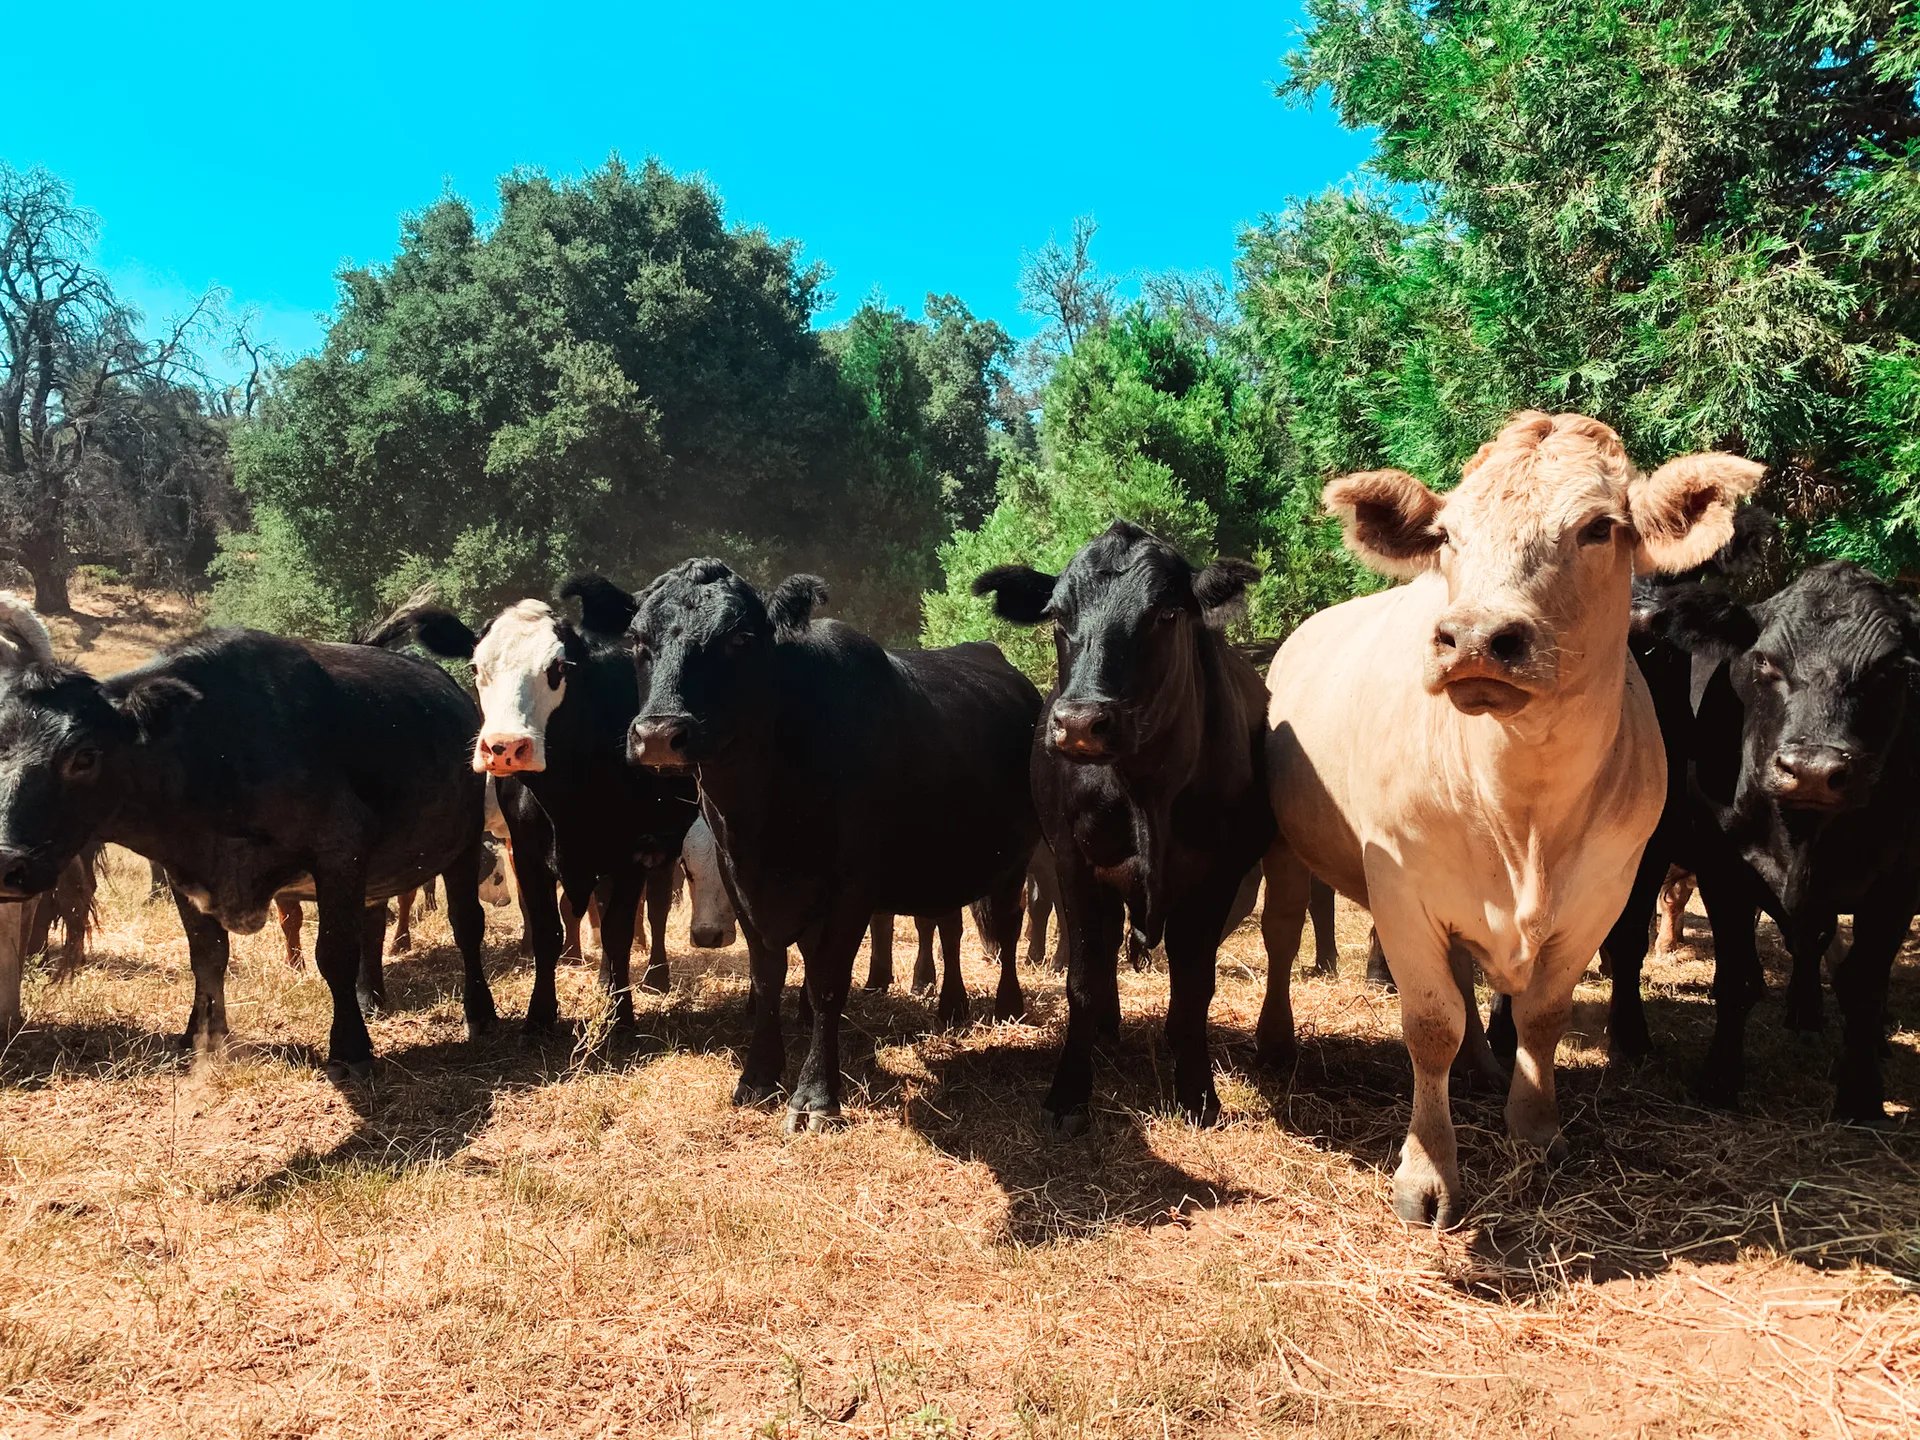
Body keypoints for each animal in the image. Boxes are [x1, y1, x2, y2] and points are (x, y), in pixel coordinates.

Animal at [0, 602, 499, 1080]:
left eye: (84, 755)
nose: (8, 862)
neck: (214, 751)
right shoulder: (184, 873)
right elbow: (207, 957)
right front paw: (203, 1038)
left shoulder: (339, 848)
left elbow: (334, 952)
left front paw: (349, 1049)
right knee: (375, 921)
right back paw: (369, 996)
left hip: (463, 843)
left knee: (465, 923)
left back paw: (480, 1013)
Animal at [626, 561, 1039, 1131]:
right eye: (637, 639)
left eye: (739, 638)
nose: (660, 733)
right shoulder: (742, 880)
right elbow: (767, 976)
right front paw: (758, 1077)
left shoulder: (852, 886)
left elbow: (826, 979)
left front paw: (817, 1095)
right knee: (951, 927)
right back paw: (951, 1007)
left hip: (1016, 857)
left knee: (1007, 922)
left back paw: (1007, 1007)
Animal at [973, 521, 1274, 1134]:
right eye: (1058, 615)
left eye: (1166, 613)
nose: (1079, 722)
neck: (1147, 791)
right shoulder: (1074, 862)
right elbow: (1083, 980)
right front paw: (1069, 1093)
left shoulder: (1218, 876)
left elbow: (1194, 985)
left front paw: (1197, 1092)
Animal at [1262, 411, 1759, 1225]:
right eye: (1447, 535)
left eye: (1597, 528)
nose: (1472, 638)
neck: (1520, 809)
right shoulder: (1401, 888)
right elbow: (1429, 1024)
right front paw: (1428, 1172)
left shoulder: (1602, 895)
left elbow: (1540, 1017)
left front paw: (1534, 1128)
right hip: (1286, 845)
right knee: (1286, 938)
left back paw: (1482, 1067)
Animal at [1640, 562, 1920, 1122]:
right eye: (1764, 661)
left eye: (1893, 669)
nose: (1813, 769)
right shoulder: (1723, 869)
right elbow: (1738, 978)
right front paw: (1720, 1081)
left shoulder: (1898, 884)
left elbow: (1863, 984)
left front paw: (1861, 1097)